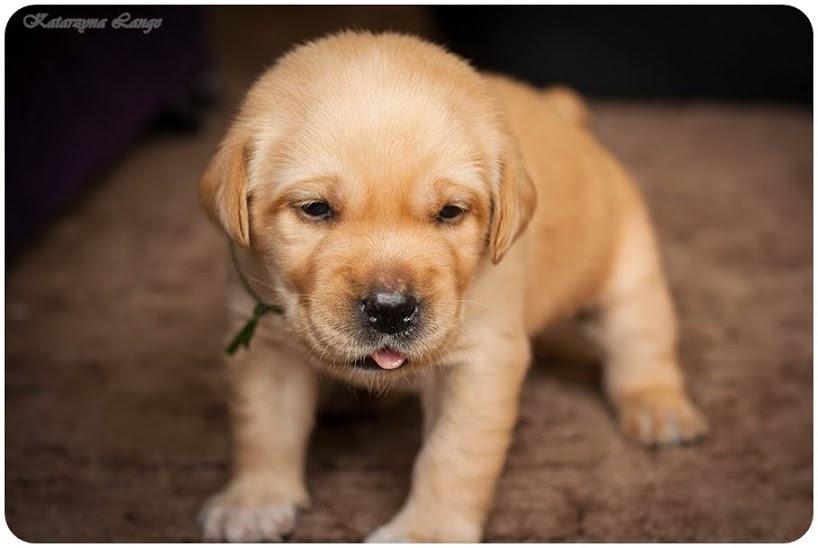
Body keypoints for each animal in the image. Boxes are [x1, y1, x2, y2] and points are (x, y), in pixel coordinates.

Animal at [196, 30, 700, 540]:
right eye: (315, 209)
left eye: (450, 212)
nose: (391, 309)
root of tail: (562, 112)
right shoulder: (261, 339)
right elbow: (262, 425)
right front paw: (254, 499)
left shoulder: (481, 359)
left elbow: (452, 455)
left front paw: (427, 531)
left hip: (628, 268)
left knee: (641, 343)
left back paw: (659, 406)